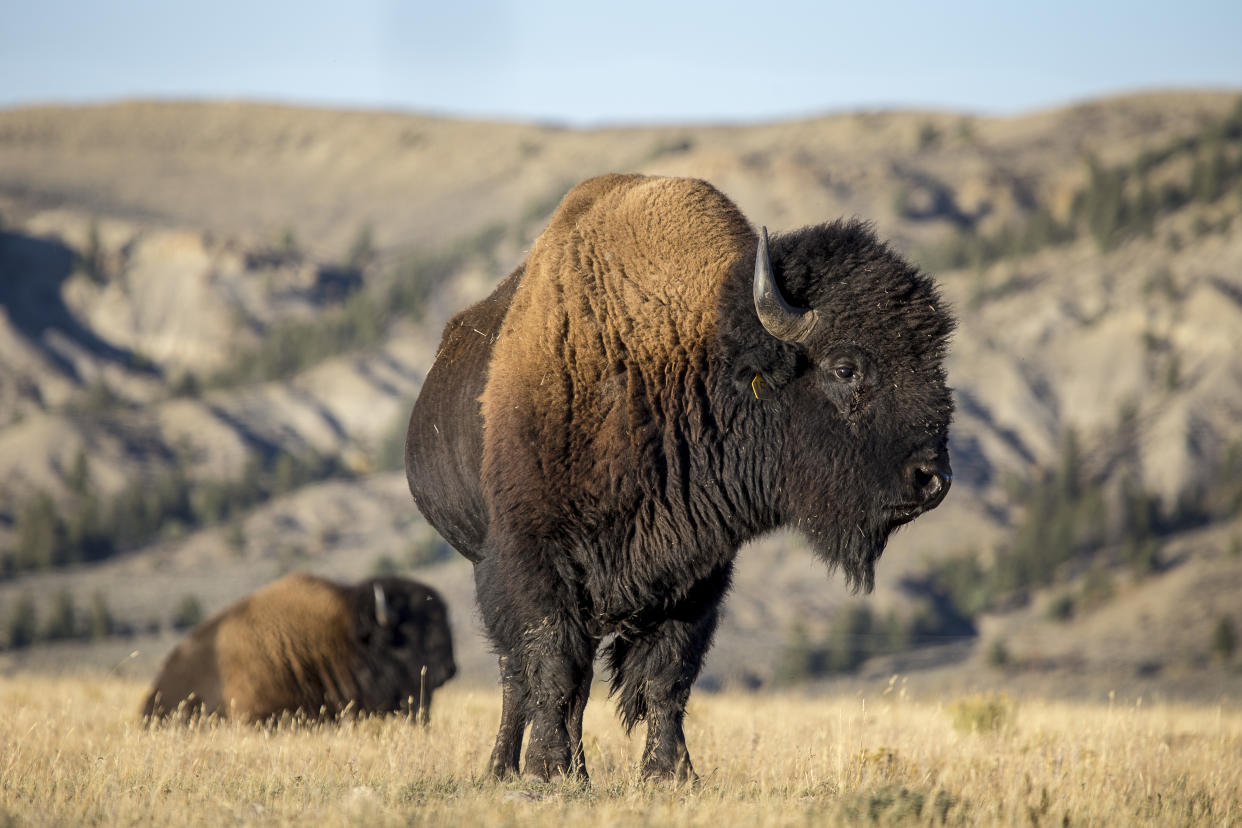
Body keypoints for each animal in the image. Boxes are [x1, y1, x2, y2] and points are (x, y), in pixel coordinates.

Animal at [402, 171, 953, 779]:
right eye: (845, 367)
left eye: (933, 363)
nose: (932, 478)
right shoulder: (533, 558)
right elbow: (551, 667)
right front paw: (545, 770)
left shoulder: (698, 572)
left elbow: (667, 676)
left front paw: (669, 773)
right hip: (488, 563)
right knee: (516, 677)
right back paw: (505, 767)